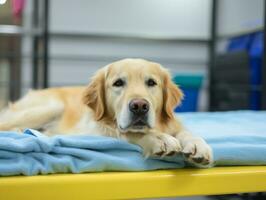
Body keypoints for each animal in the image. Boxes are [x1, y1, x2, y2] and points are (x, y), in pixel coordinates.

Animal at [0, 58, 212, 167]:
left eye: (151, 83)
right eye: (118, 83)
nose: (139, 106)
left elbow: (186, 132)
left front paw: (197, 145)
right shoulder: (95, 130)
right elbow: (125, 133)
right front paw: (159, 138)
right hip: (51, 107)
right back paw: (21, 131)